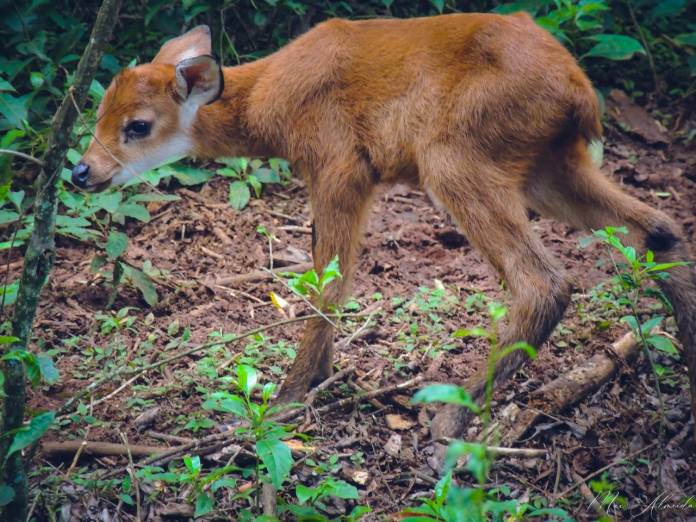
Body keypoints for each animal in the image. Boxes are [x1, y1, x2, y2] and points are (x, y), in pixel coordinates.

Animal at [73, 13, 696, 448]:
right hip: (548, 165)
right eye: (99, 112)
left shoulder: (341, 164)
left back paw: (450, 418)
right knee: (658, 228)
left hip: (456, 157)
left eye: (138, 125)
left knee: (545, 280)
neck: (270, 103)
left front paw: (291, 396)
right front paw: (318, 379)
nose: (82, 171)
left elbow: (328, 284)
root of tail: (579, 91)